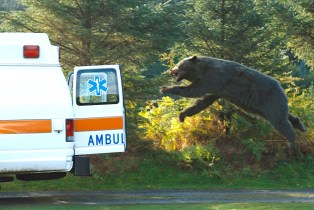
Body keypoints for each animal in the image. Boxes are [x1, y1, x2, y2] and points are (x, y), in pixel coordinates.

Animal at [161, 55, 306, 146]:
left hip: (269, 99)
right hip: (264, 107)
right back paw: (300, 125)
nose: (170, 70)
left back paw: (292, 142)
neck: (202, 70)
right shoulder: (216, 89)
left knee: (281, 122)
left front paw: (166, 88)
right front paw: (182, 115)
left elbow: (194, 91)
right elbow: (202, 101)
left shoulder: (214, 78)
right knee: (285, 116)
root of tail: (282, 88)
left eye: (179, 64)